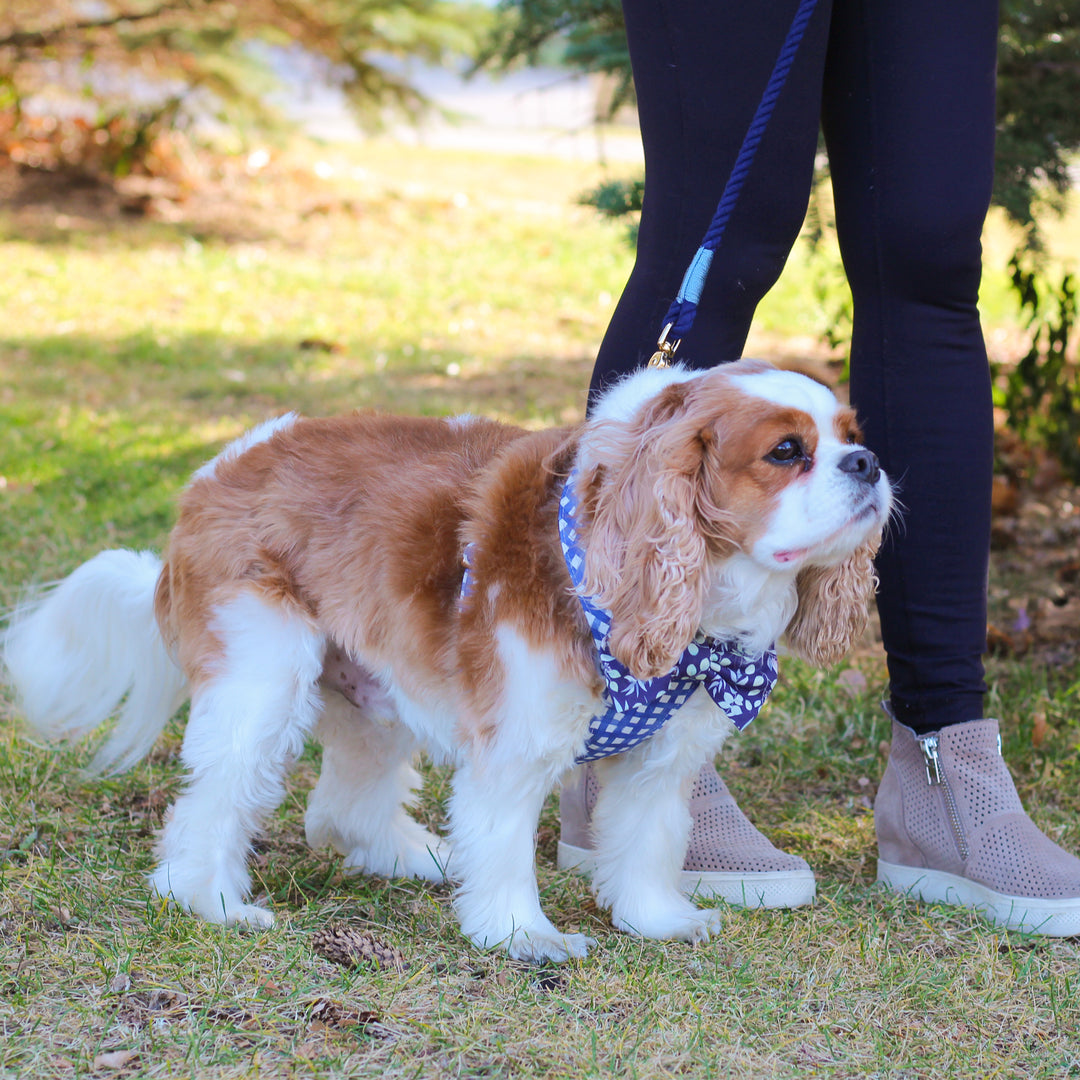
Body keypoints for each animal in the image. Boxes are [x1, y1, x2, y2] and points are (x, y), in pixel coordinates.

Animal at [0, 362, 889, 963]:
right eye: (787, 451)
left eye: (852, 435)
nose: (869, 463)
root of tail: (212, 475)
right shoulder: (516, 743)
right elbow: (501, 841)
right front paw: (522, 934)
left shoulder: (660, 760)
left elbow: (645, 841)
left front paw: (656, 919)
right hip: (265, 672)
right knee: (214, 800)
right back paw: (210, 900)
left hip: (371, 687)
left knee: (341, 807)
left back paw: (411, 856)